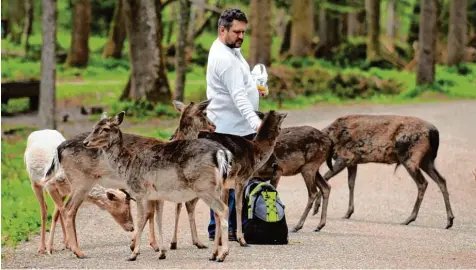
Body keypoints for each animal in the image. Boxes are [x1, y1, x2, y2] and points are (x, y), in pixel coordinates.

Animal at [40, 99, 217, 260]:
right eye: (204, 113)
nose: (213, 126)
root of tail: (59, 149)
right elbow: (149, 213)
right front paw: (139, 246)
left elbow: (151, 213)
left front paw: (153, 246)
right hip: (81, 180)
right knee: (68, 209)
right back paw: (77, 251)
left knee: (66, 209)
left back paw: (70, 247)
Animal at [316, 113, 454, 228]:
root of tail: (434, 132)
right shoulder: (353, 161)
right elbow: (351, 184)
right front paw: (348, 212)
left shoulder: (345, 157)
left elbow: (326, 177)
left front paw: (316, 207)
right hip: (427, 160)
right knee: (441, 180)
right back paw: (449, 220)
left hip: (410, 157)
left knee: (423, 183)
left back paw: (409, 219)